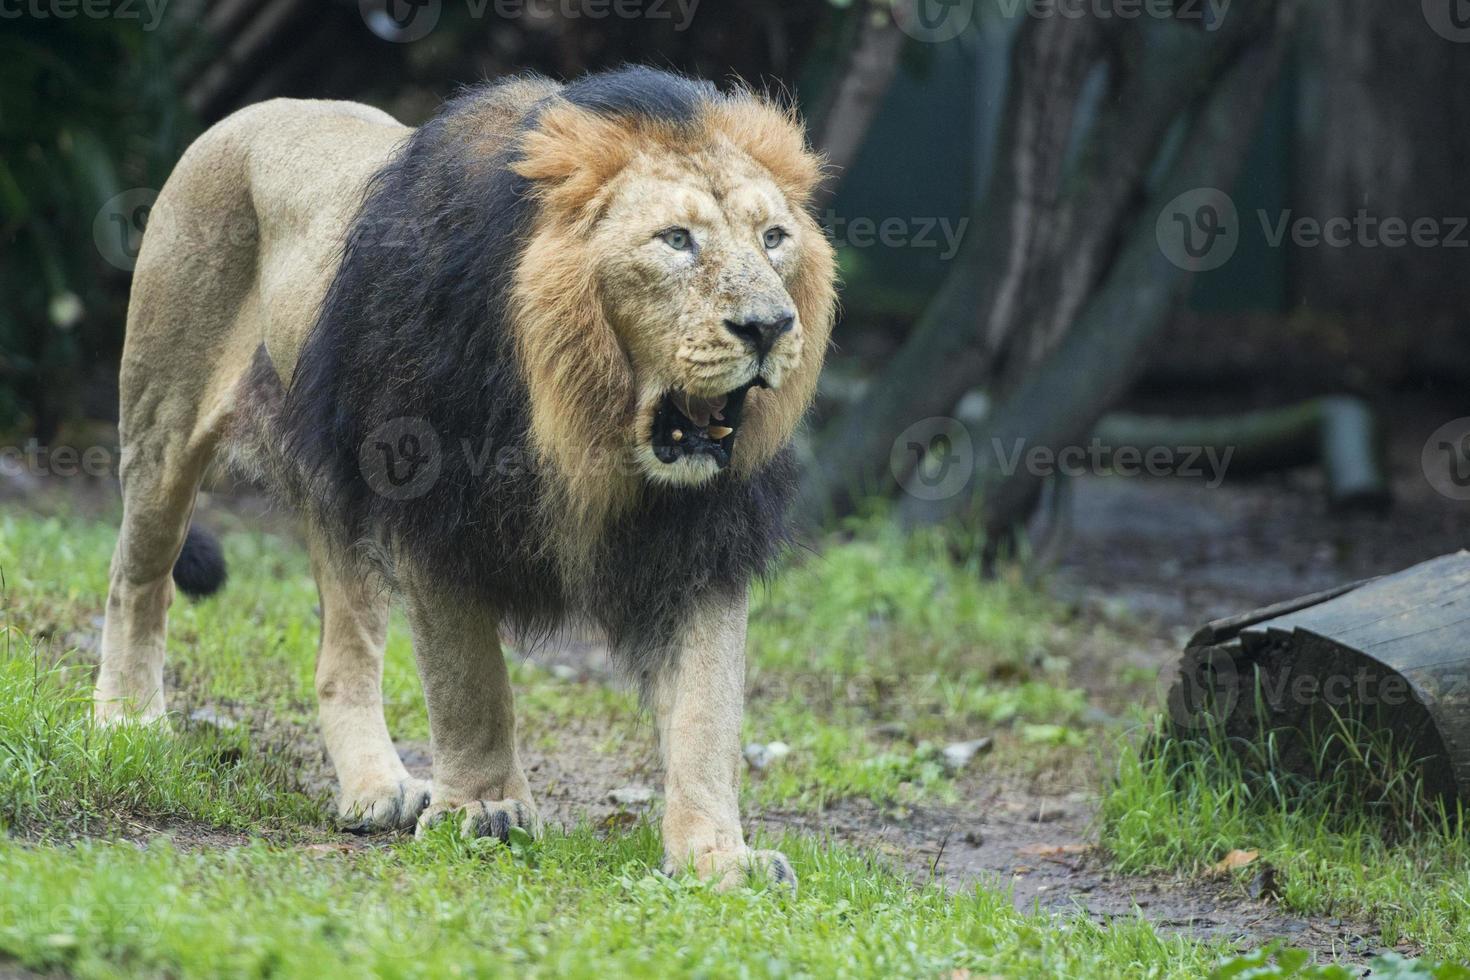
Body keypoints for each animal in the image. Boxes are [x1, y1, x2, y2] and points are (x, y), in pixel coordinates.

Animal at [94, 63, 840, 887]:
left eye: (774, 239)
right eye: (677, 240)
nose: (770, 327)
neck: (585, 424)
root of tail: (256, 112)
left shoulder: (705, 539)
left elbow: (708, 709)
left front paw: (719, 856)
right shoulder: (433, 506)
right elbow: (470, 682)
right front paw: (485, 809)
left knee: (345, 653)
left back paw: (377, 788)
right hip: (162, 419)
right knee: (138, 576)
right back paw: (127, 720)